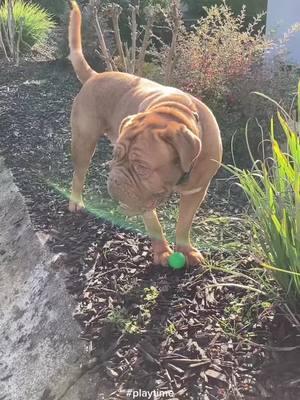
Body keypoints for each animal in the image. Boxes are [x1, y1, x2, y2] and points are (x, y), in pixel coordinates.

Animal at [68, 2, 223, 268]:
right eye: (116, 158)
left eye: (142, 167)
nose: (115, 181)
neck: (174, 112)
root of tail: (96, 75)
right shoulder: (144, 196)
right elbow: (153, 222)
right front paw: (162, 252)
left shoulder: (197, 190)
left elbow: (185, 222)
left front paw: (185, 249)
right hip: (83, 141)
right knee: (79, 172)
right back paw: (76, 201)